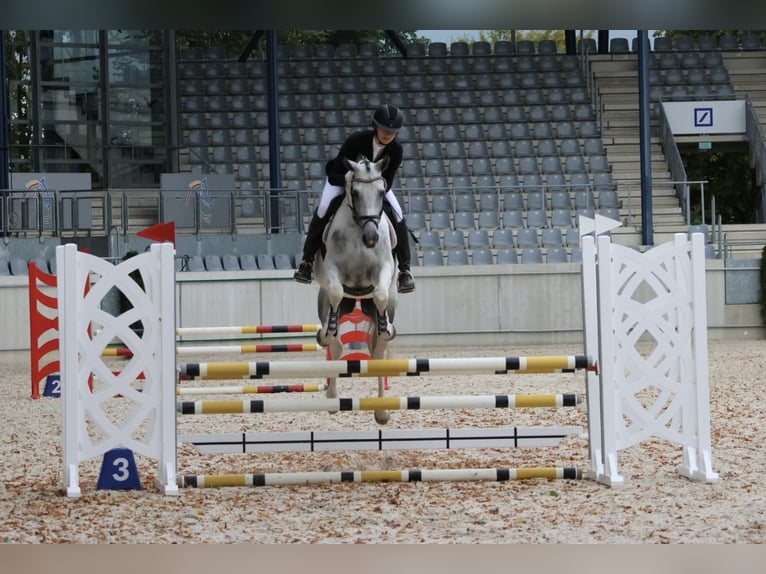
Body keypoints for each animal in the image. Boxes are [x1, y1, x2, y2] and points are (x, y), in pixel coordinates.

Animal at [316, 156, 402, 424]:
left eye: (382, 192)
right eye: (354, 192)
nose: (371, 238)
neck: (358, 230)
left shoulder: (383, 269)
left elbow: (381, 293)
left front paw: (386, 326)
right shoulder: (333, 271)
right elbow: (335, 290)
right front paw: (328, 330)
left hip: (377, 307)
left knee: (379, 352)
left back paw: (382, 410)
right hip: (331, 303)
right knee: (335, 345)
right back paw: (332, 399)